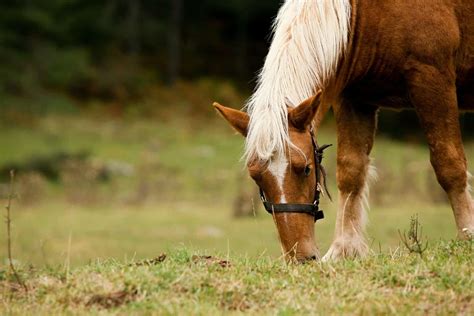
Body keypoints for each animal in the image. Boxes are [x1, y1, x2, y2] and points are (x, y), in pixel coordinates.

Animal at [213, 0, 472, 262]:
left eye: (306, 169)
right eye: (255, 176)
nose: (300, 257)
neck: (365, 13)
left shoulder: (433, 80)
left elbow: (449, 165)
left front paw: (467, 236)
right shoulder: (354, 99)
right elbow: (351, 172)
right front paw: (343, 248)